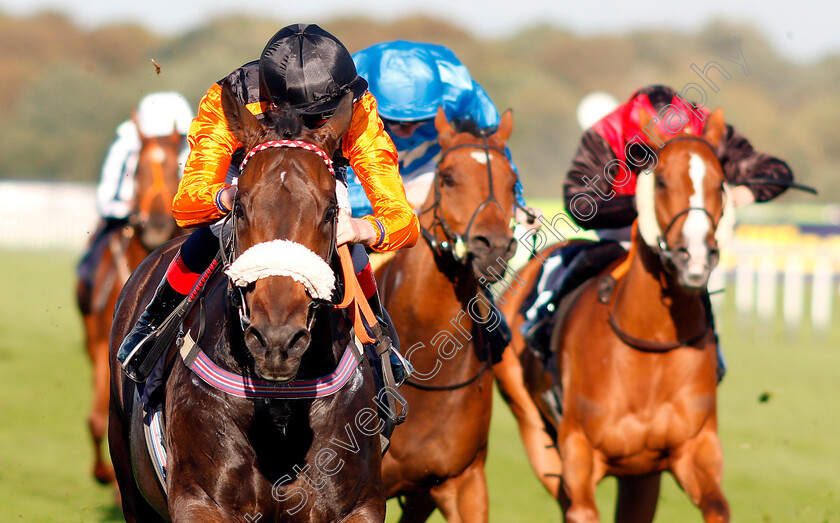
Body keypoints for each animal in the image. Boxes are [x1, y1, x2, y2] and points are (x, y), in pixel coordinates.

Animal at [76, 125, 183, 486]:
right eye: (136, 170)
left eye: (176, 167)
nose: (158, 224)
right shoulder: (101, 347)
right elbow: (96, 419)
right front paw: (103, 474)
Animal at [108, 85, 388, 520]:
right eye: (239, 208)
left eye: (331, 212)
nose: (277, 339)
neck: (279, 409)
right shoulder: (197, 499)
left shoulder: (359, 504)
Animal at [498, 108, 736, 520]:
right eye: (661, 181)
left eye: (720, 183)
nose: (694, 257)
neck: (651, 344)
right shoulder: (579, 458)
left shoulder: (694, 451)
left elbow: (717, 506)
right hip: (531, 425)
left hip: (641, 473)